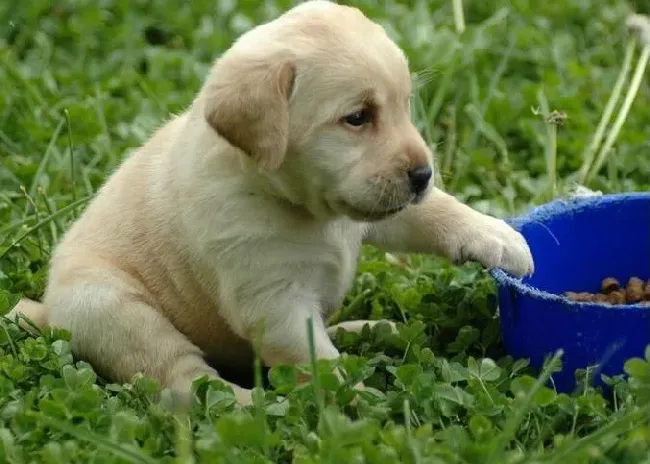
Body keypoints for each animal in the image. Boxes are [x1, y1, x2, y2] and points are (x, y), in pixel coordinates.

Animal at [8, 0, 532, 406]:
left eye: (404, 106)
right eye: (357, 117)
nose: (423, 174)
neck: (301, 206)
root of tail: (49, 311)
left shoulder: (376, 210)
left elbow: (434, 211)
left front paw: (500, 237)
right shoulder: (273, 300)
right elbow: (316, 362)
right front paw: (357, 401)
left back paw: (367, 328)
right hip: (110, 305)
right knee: (183, 381)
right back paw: (240, 403)